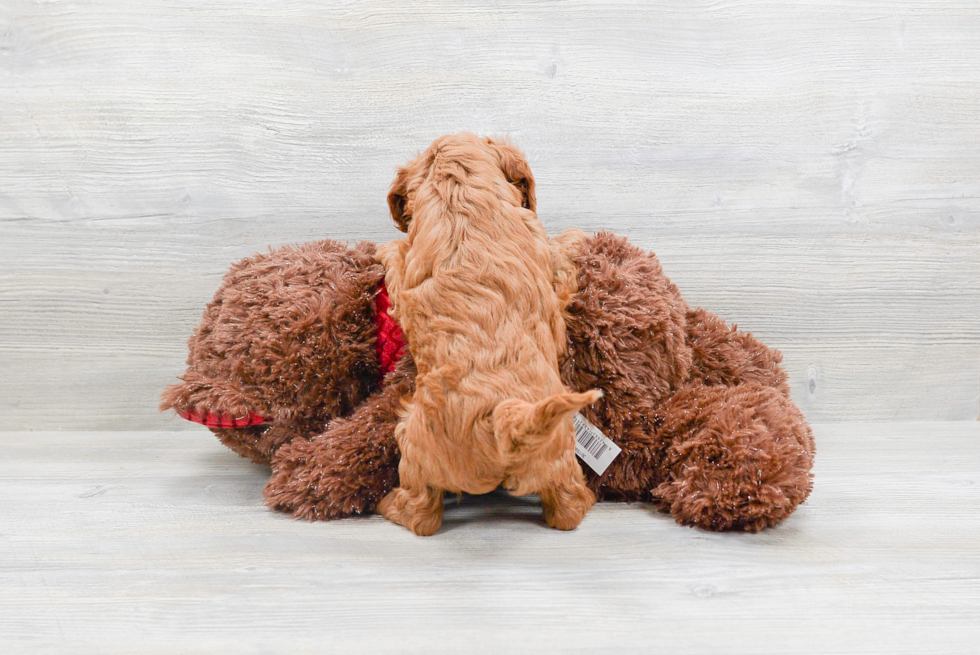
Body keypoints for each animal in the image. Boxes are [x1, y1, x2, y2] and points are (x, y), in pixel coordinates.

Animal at [376, 131, 600, 536]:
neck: (458, 190)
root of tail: (501, 424)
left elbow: (398, 261)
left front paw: (386, 247)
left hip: (415, 445)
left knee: (423, 515)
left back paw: (390, 506)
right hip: (558, 454)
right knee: (566, 507)